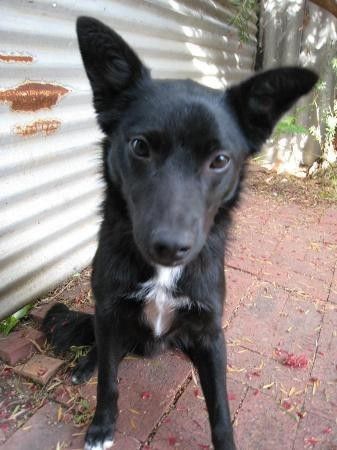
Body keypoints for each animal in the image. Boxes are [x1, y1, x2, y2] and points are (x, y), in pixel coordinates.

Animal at [42, 16, 318, 450]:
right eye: (140, 146)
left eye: (219, 160)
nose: (170, 248)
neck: (163, 274)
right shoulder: (109, 312)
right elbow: (108, 382)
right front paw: (101, 427)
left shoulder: (210, 334)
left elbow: (220, 408)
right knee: (104, 351)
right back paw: (86, 365)